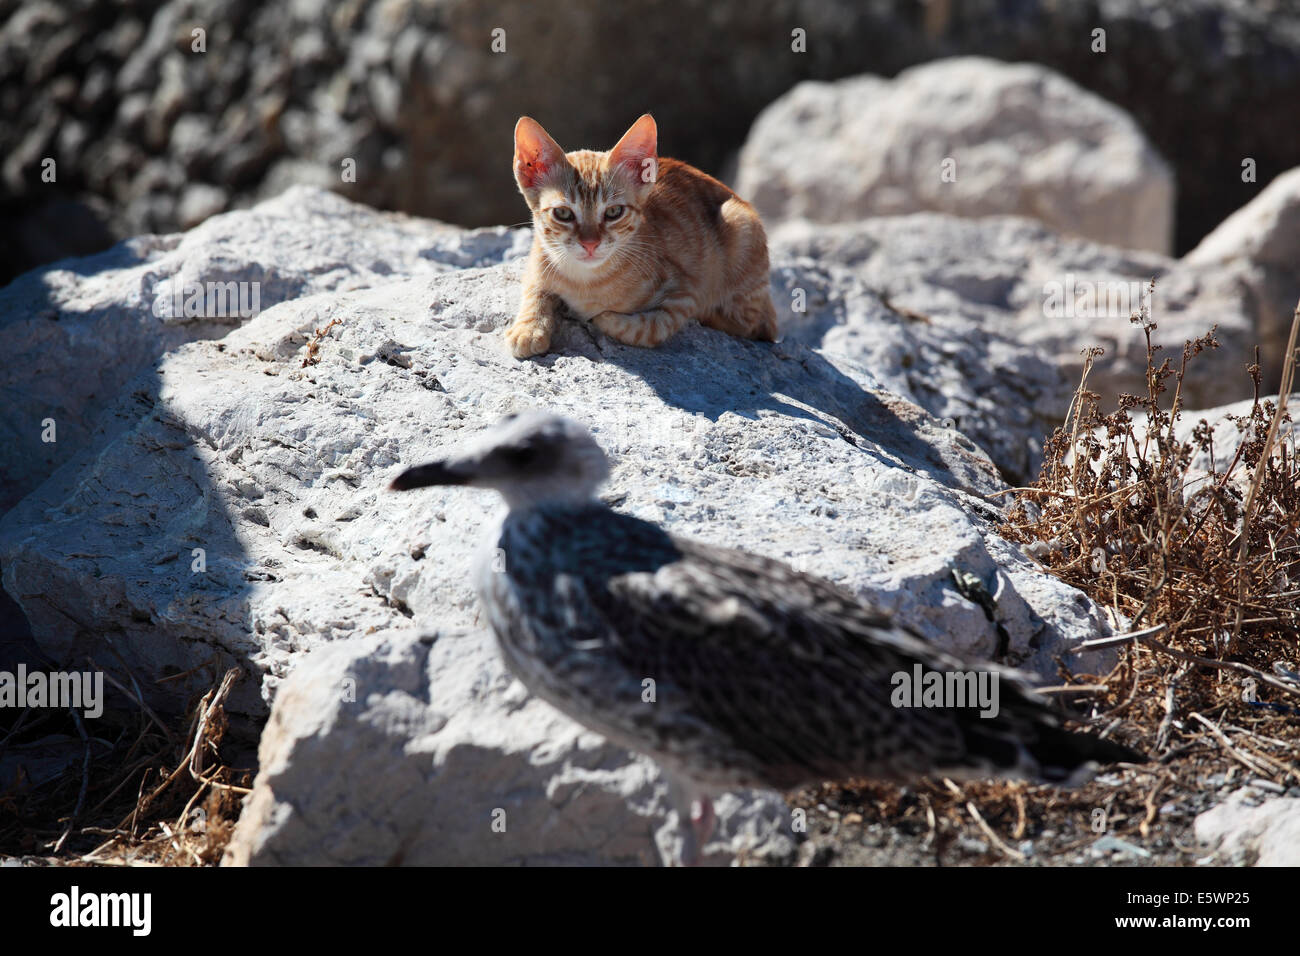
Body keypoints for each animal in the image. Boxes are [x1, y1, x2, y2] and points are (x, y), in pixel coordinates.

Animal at [504, 115, 769, 358]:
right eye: (562, 213)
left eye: (613, 212)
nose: (590, 244)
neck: (585, 281)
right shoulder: (536, 257)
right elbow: (534, 288)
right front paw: (528, 329)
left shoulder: (686, 294)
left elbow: (647, 328)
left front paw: (602, 317)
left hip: (740, 223)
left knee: (753, 325)